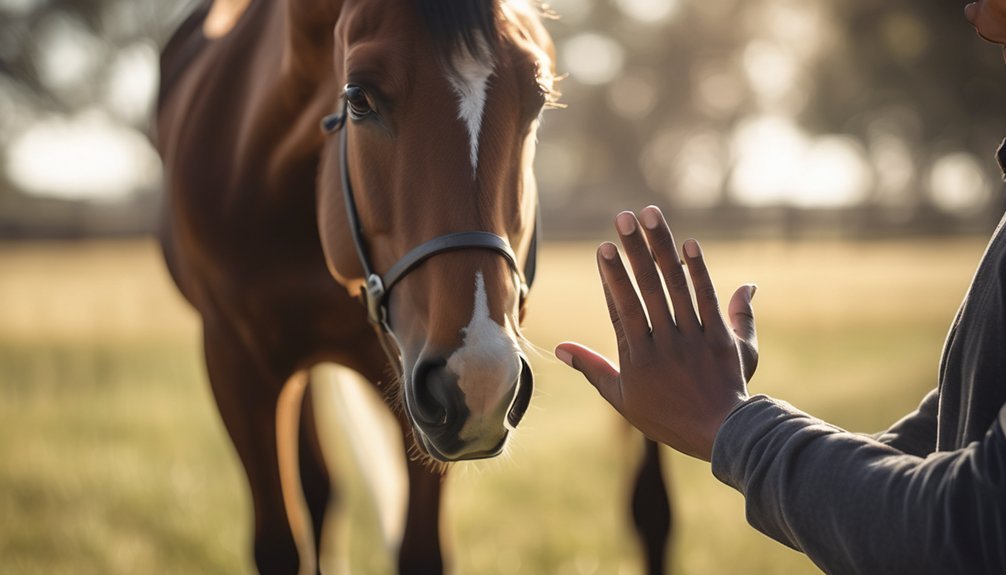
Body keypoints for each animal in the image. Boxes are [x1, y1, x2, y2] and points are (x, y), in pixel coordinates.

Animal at [155, 0, 672, 572]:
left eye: (537, 101)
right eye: (358, 98)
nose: (482, 379)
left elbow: (420, 548)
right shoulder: (235, 366)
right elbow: (280, 546)